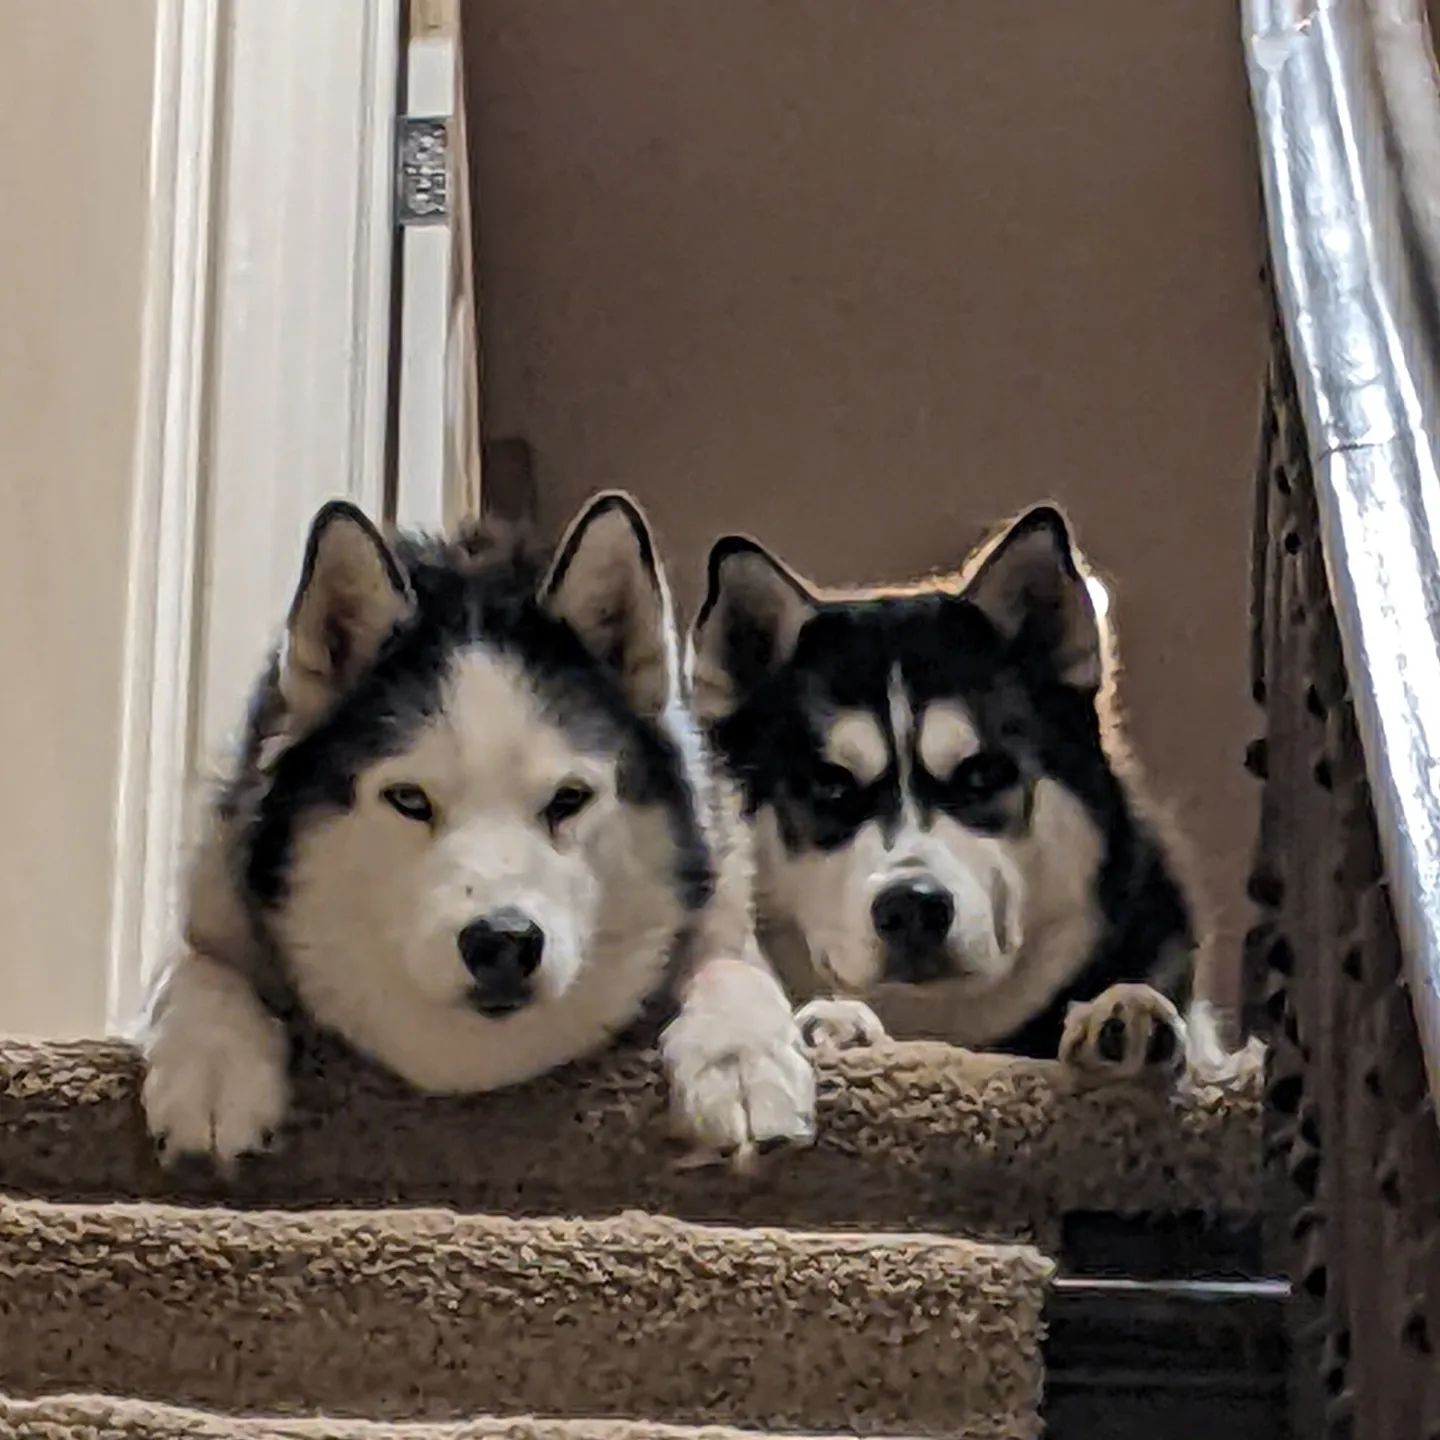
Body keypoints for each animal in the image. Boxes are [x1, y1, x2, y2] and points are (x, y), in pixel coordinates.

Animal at [146, 495, 823, 1169]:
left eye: (569, 799)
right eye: (409, 800)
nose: (502, 941)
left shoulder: (724, 896)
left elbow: (733, 965)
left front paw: (741, 1061)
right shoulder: (215, 892)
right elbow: (197, 968)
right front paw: (212, 1066)